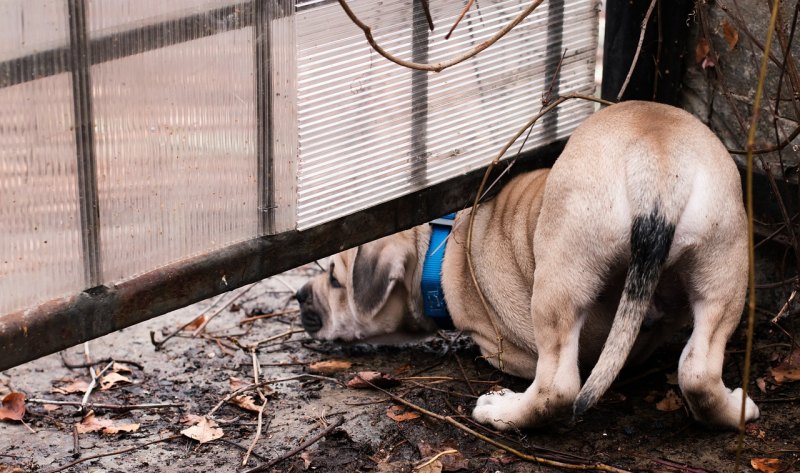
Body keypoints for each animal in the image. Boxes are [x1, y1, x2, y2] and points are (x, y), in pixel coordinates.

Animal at [296, 101, 760, 430]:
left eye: (334, 280)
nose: (299, 294)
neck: (438, 248)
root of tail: (657, 158)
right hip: (725, 262)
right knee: (698, 370)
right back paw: (736, 409)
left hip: (561, 278)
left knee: (557, 386)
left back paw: (502, 413)